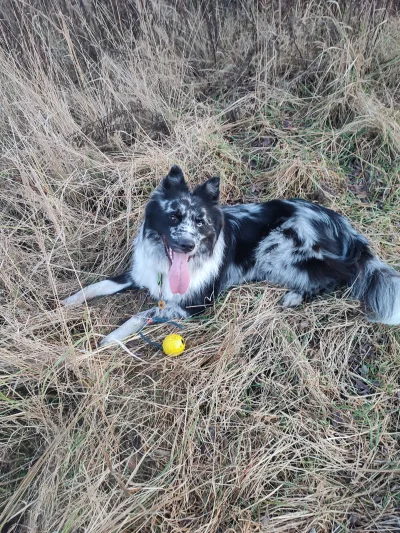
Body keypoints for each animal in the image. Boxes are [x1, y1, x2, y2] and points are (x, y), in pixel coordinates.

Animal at [62, 165, 400, 344]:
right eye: (173, 216)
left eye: (200, 222)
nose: (187, 245)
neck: (166, 266)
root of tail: (340, 222)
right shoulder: (140, 273)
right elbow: (99, 285)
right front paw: (67, 303)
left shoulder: (195, 304)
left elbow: (141, 313)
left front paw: (112, 337)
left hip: (279, 246)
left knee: (338, 277)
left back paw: (295, 296)